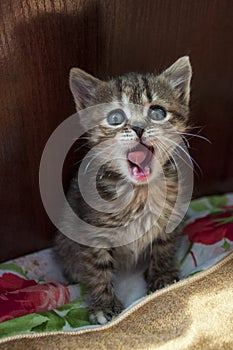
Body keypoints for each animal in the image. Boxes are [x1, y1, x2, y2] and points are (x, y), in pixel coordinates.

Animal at [55, 56, 192, 322]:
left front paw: (162, 277)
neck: (140, 192)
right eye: (115, 118)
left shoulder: (172, 215)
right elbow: (97, 269)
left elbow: (164, 246)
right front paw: (103, 305)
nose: (138, 128)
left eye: (157, 112)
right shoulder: (91, 230)